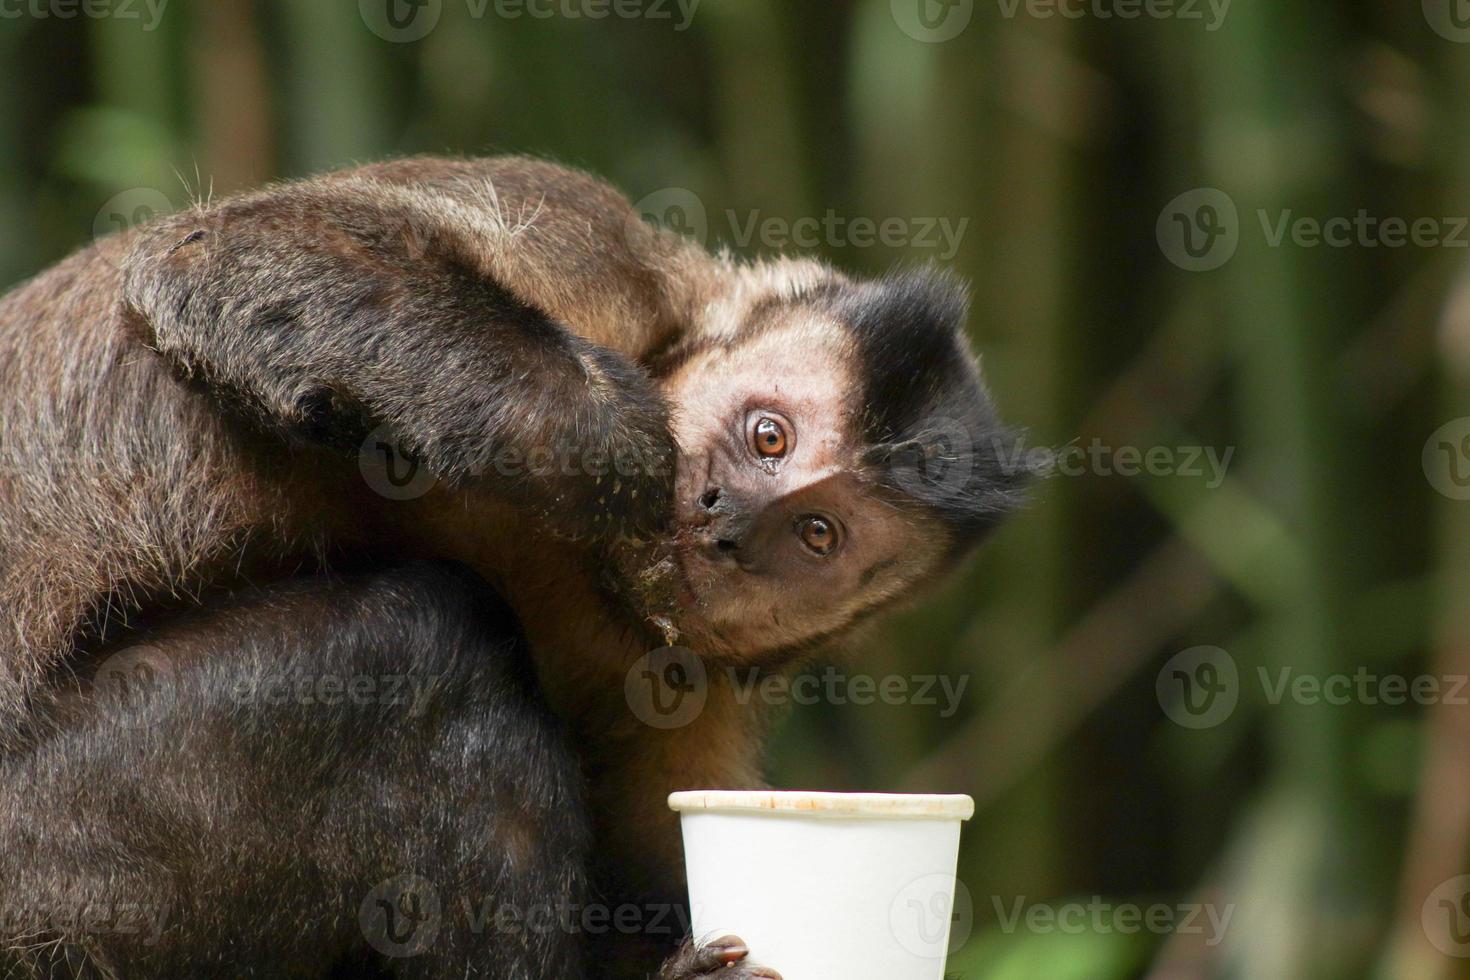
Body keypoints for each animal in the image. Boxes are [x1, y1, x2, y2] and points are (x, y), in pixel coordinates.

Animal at [0, 157, 1029, 975]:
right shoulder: (601, 256)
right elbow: (225, 253)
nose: (728, 519)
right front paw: (623, 451)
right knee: (417, 650)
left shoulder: (696, 683)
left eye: (818, 534)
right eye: (767, 436)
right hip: (52, 875)